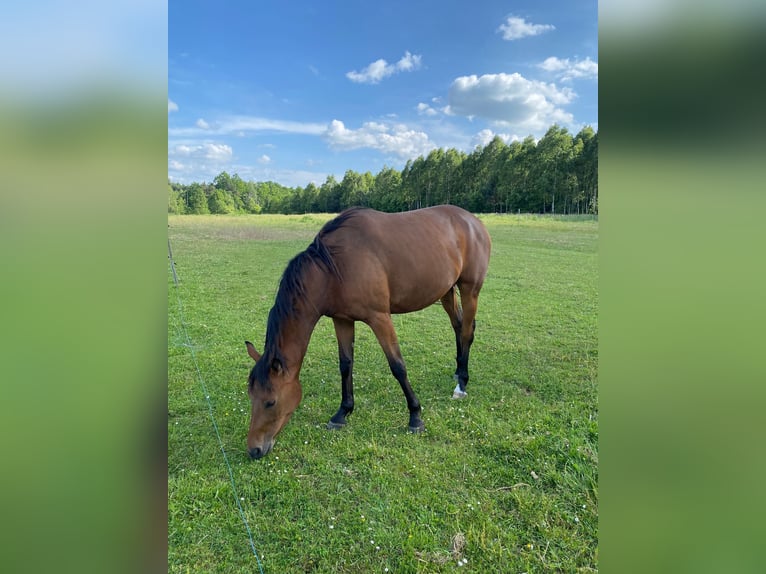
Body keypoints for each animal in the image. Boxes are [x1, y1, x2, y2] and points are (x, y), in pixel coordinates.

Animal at [249, 205, 496, 462]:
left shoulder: (380, 318)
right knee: (457, 326)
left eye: (270, 402)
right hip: (446, 290)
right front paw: (342, 413)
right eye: (251, 397)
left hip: (470, 289)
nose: (254, 449)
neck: (334, 267)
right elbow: (346, 365)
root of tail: (473, 221)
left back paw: (462, 384)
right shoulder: (342, 320)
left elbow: (397, 366)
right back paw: (458, 372)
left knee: (466, 331)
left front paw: (415, 416)